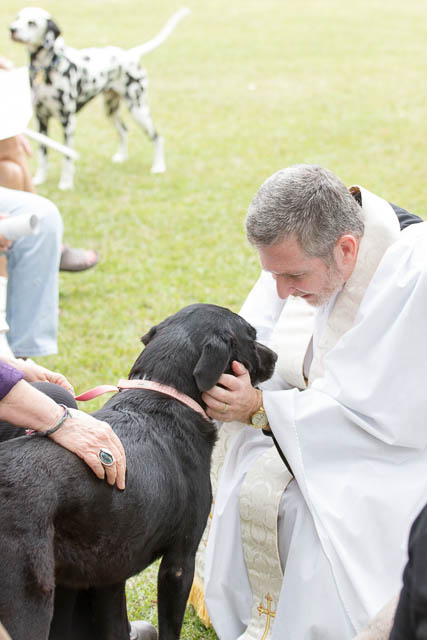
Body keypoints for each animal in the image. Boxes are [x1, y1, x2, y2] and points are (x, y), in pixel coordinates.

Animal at [0, 304, 278, 640]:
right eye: (252, 335)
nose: (276, 357)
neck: (167, 394)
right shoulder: (179, 562)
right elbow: (169, 627)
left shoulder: (106, 571)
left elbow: (115, 626)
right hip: (29, 600)